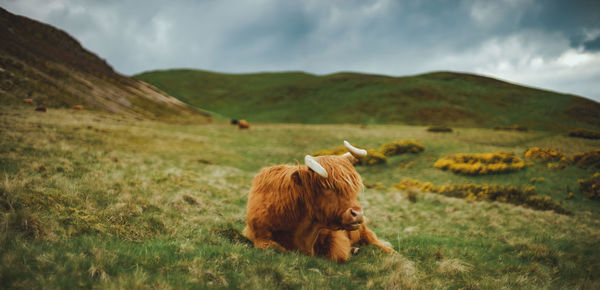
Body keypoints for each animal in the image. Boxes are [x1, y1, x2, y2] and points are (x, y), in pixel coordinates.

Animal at [244, 140, 394, 262]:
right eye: (327, 187)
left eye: (353, 186)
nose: (357, 214)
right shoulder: (258, 236)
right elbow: (275, 248)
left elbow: (337, 254)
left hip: (362, 229)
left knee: (373, 239)